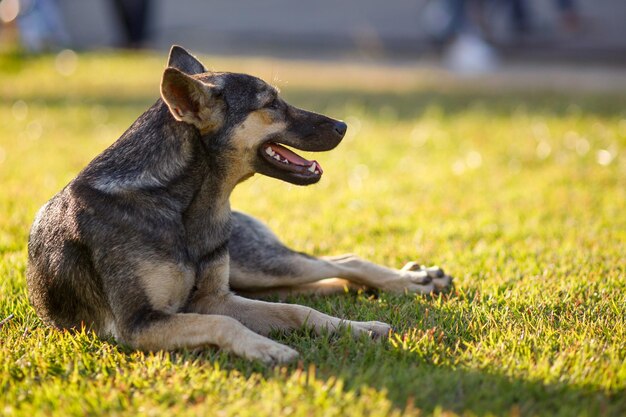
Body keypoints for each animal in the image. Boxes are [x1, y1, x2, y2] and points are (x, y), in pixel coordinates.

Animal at [26, 46, 450, 364]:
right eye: (272, 103)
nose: (344, 126)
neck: (179, 201)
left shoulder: (215, 299)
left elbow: (298, 312)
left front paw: (359, 329)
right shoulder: (142, 322)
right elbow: (227, 324)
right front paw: (268, 347)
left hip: (257, 265)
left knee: (336, 263)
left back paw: (412, 281)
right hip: (258, 273)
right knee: (322, 277)